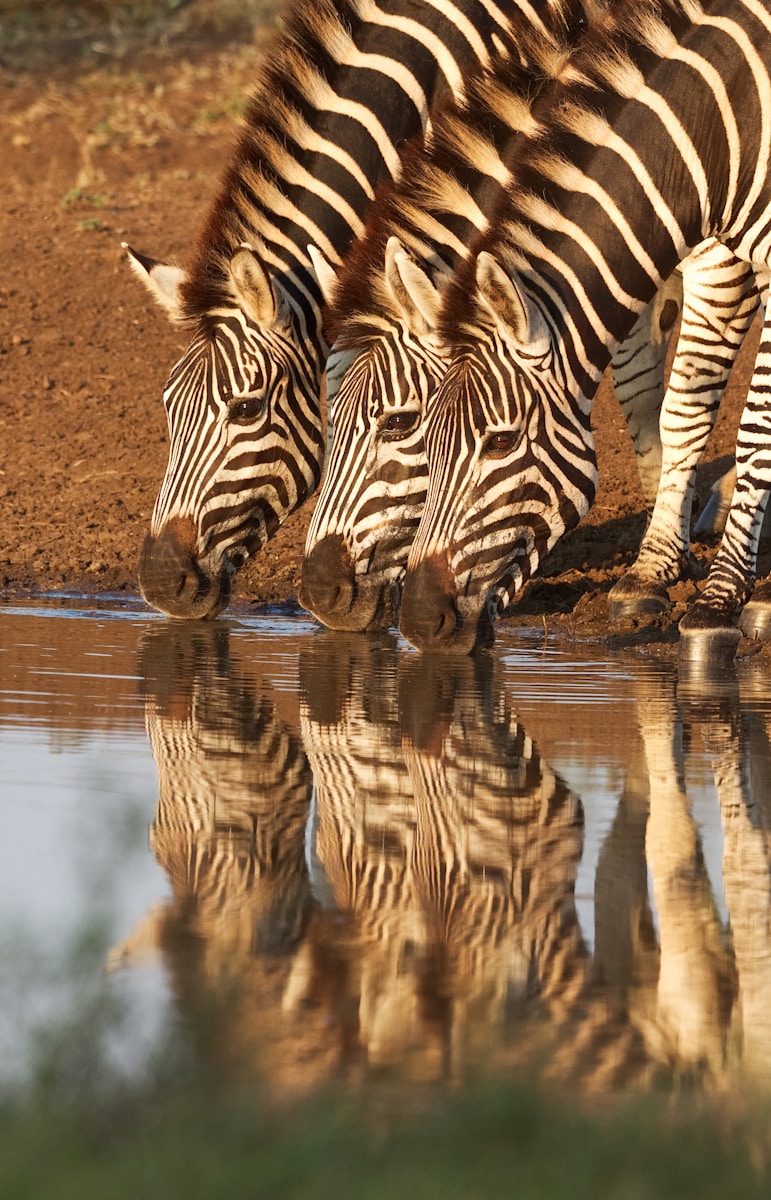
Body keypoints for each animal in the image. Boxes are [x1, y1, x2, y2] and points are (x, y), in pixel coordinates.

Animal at [299, 3, 758, 635]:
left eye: (399, 423)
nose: (319, 594)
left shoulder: (716, 254)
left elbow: (698, 410)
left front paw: (696, 584)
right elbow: (643, 390)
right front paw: (662, 559)